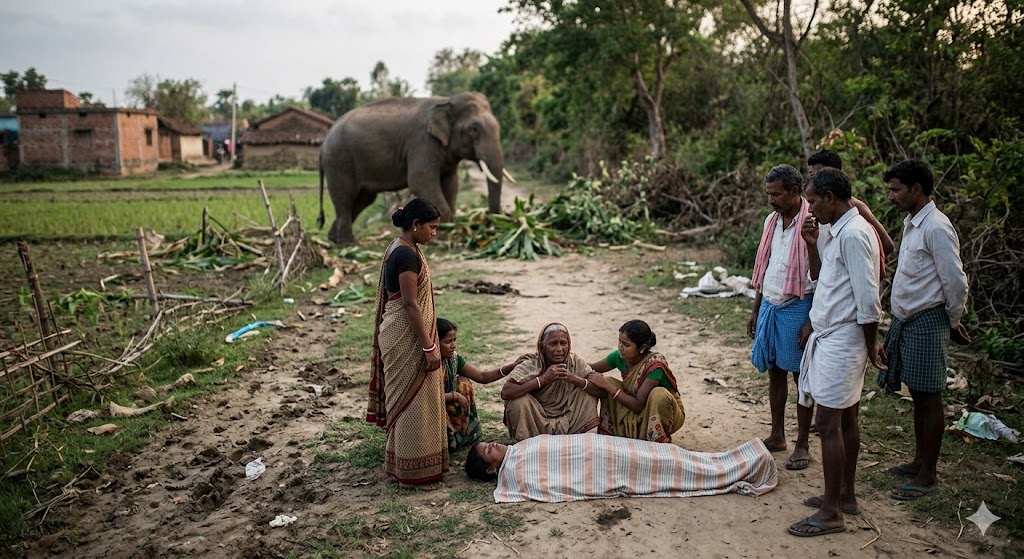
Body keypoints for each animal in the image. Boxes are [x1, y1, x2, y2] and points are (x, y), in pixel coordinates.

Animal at [317, 91, 513, 245]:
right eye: (474, 129)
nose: (491, 226)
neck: (447, 100)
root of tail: (324, 139)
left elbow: (451, 183)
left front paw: (450, 231)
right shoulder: (422, 142)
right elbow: (419, 180)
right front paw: (442, 238)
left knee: (362, 199)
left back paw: (334, 239)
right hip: (339, 161)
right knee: (345, 198)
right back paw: (348, 244)